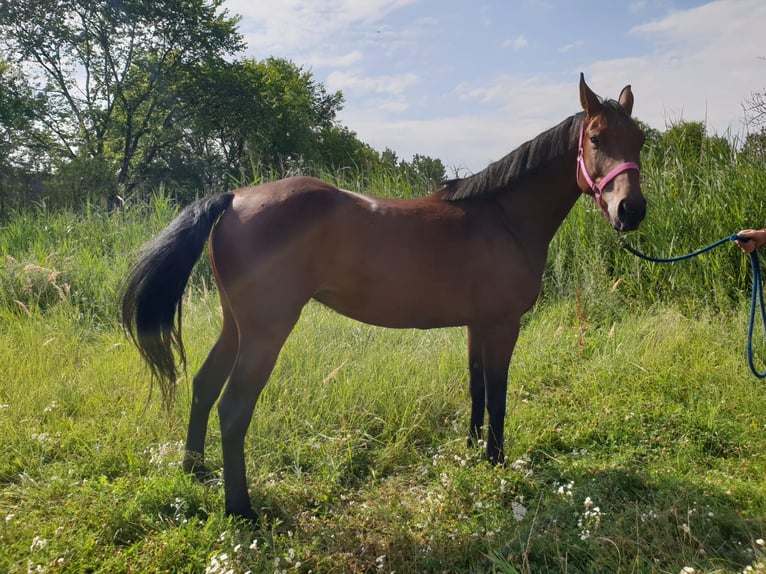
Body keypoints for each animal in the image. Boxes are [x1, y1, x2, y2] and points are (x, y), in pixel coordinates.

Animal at [121, 74, 648, 520]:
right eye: (596, 139)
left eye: (640, 140)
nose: (631, 210)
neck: (501, 218)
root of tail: (234, 198)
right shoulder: (503, 324)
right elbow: (497, 397)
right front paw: (496, 463)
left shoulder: (478, 324)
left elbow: (476, 388)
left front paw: (471, 451)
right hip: (266, 330)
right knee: (233, 408)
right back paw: (241, 509)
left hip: (235, 324)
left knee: (204, 385)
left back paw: (195, 470)